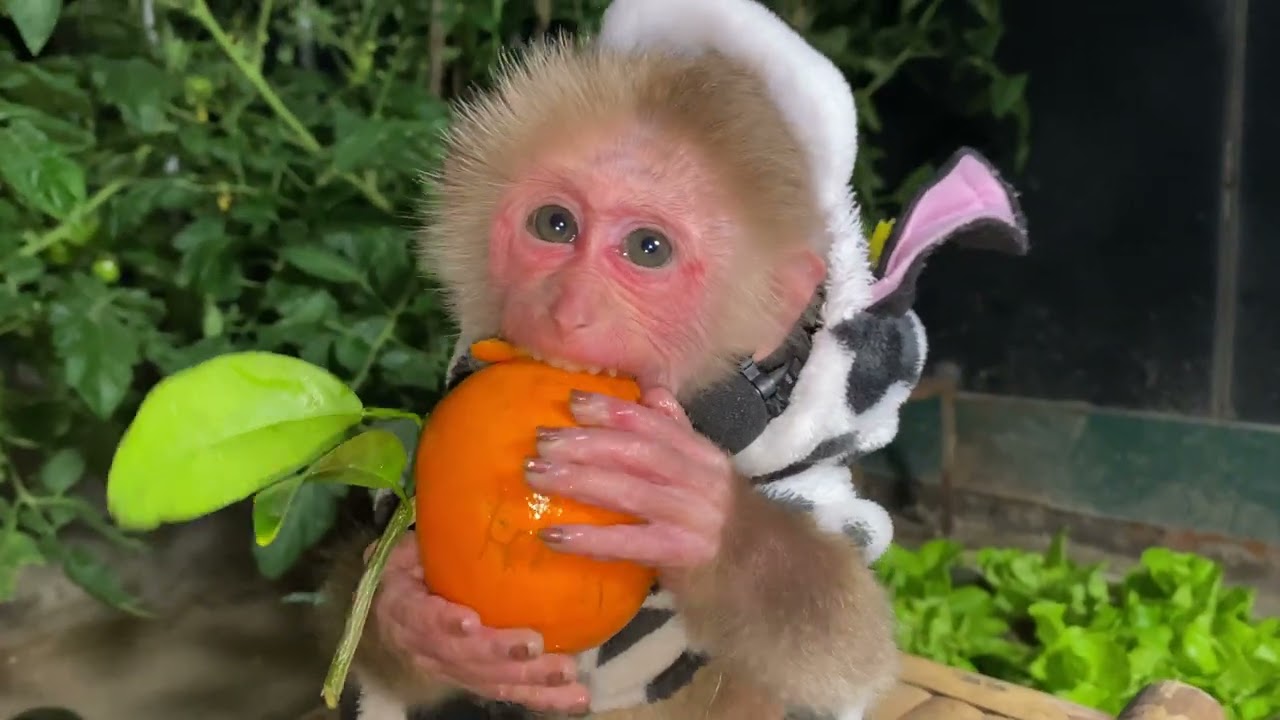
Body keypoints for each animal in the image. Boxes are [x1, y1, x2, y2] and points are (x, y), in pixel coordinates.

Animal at [313, 1, 1029, 719]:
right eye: (554, 225)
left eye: (647, 248)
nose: (568, 310)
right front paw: (409, 609)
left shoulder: (816, 475)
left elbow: (844, 656)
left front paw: (706, 520)